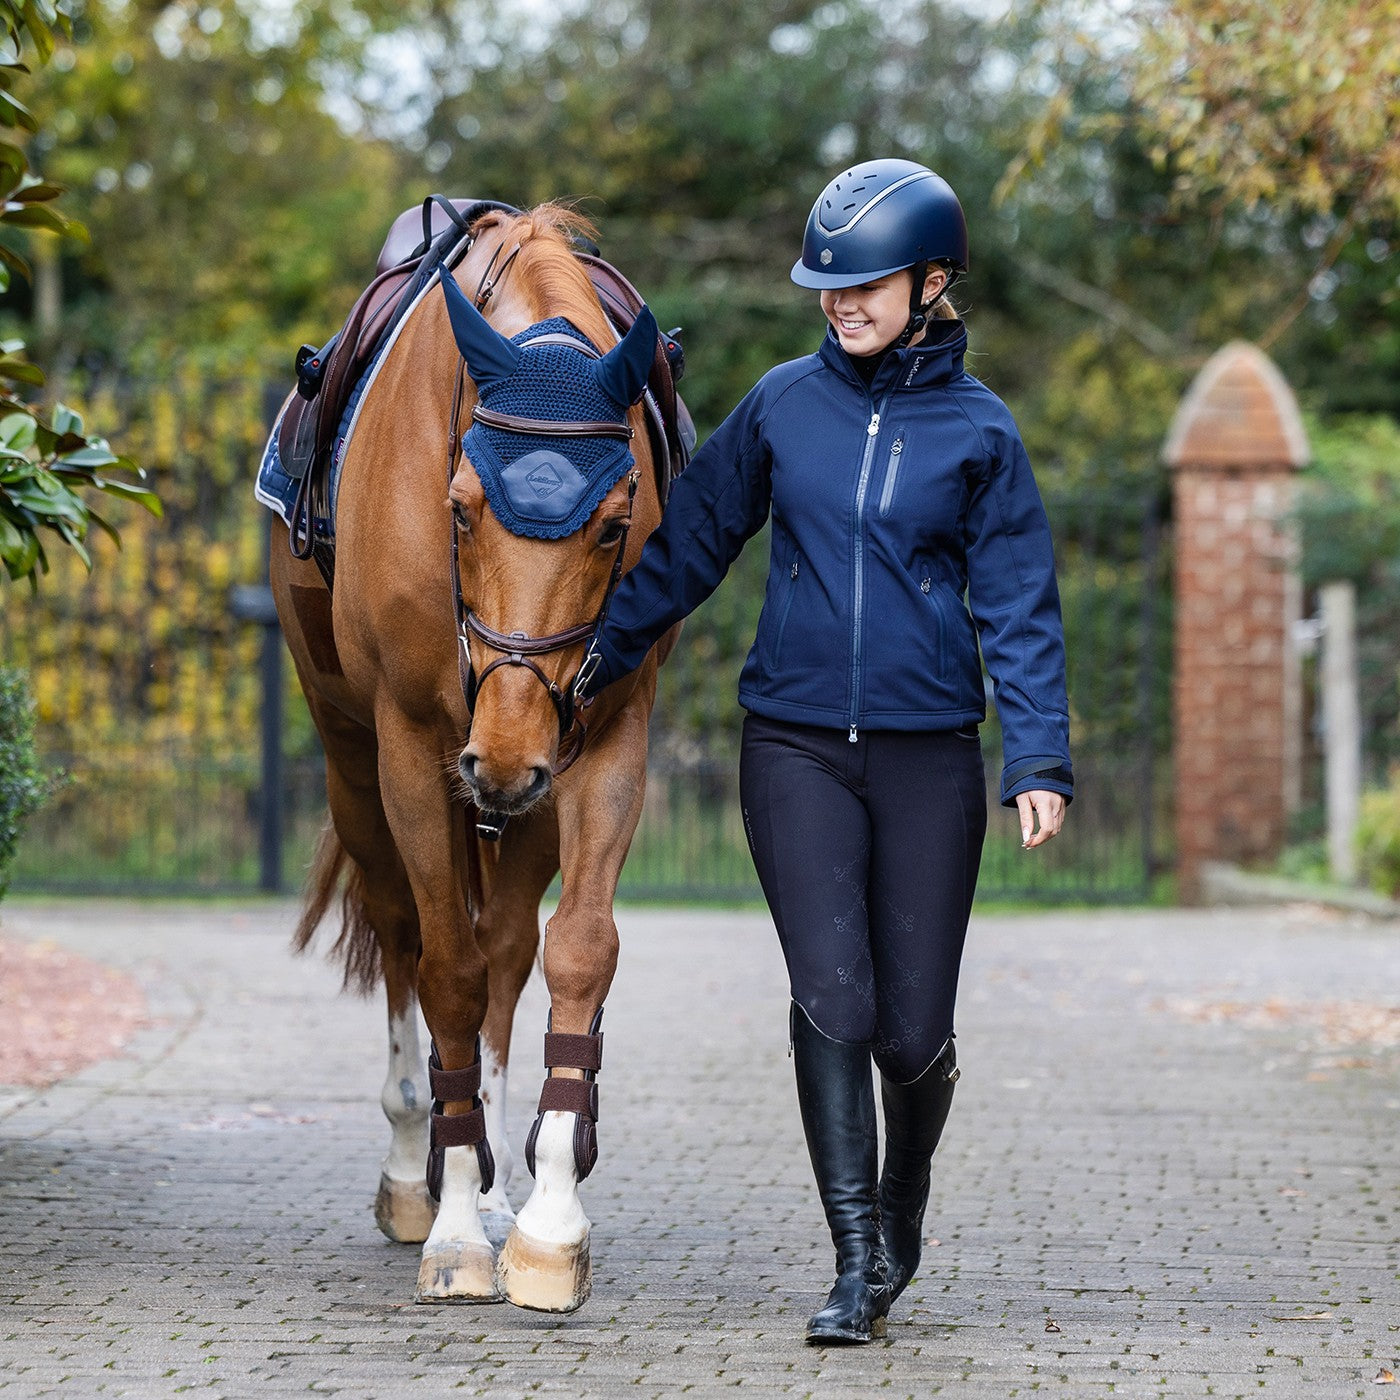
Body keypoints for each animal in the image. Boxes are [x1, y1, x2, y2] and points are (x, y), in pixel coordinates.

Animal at [271, 204, 672, 1310]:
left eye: (614, 525)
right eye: (458, 507)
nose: (499, 757)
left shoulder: (604, 738)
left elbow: (575, 951)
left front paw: (544, 1222)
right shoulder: (415, 746)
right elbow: (442, 972)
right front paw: (452, 1223)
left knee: (505, 949)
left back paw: (493, 1182)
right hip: (360, 764)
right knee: (403, 936)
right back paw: (418, 1168)